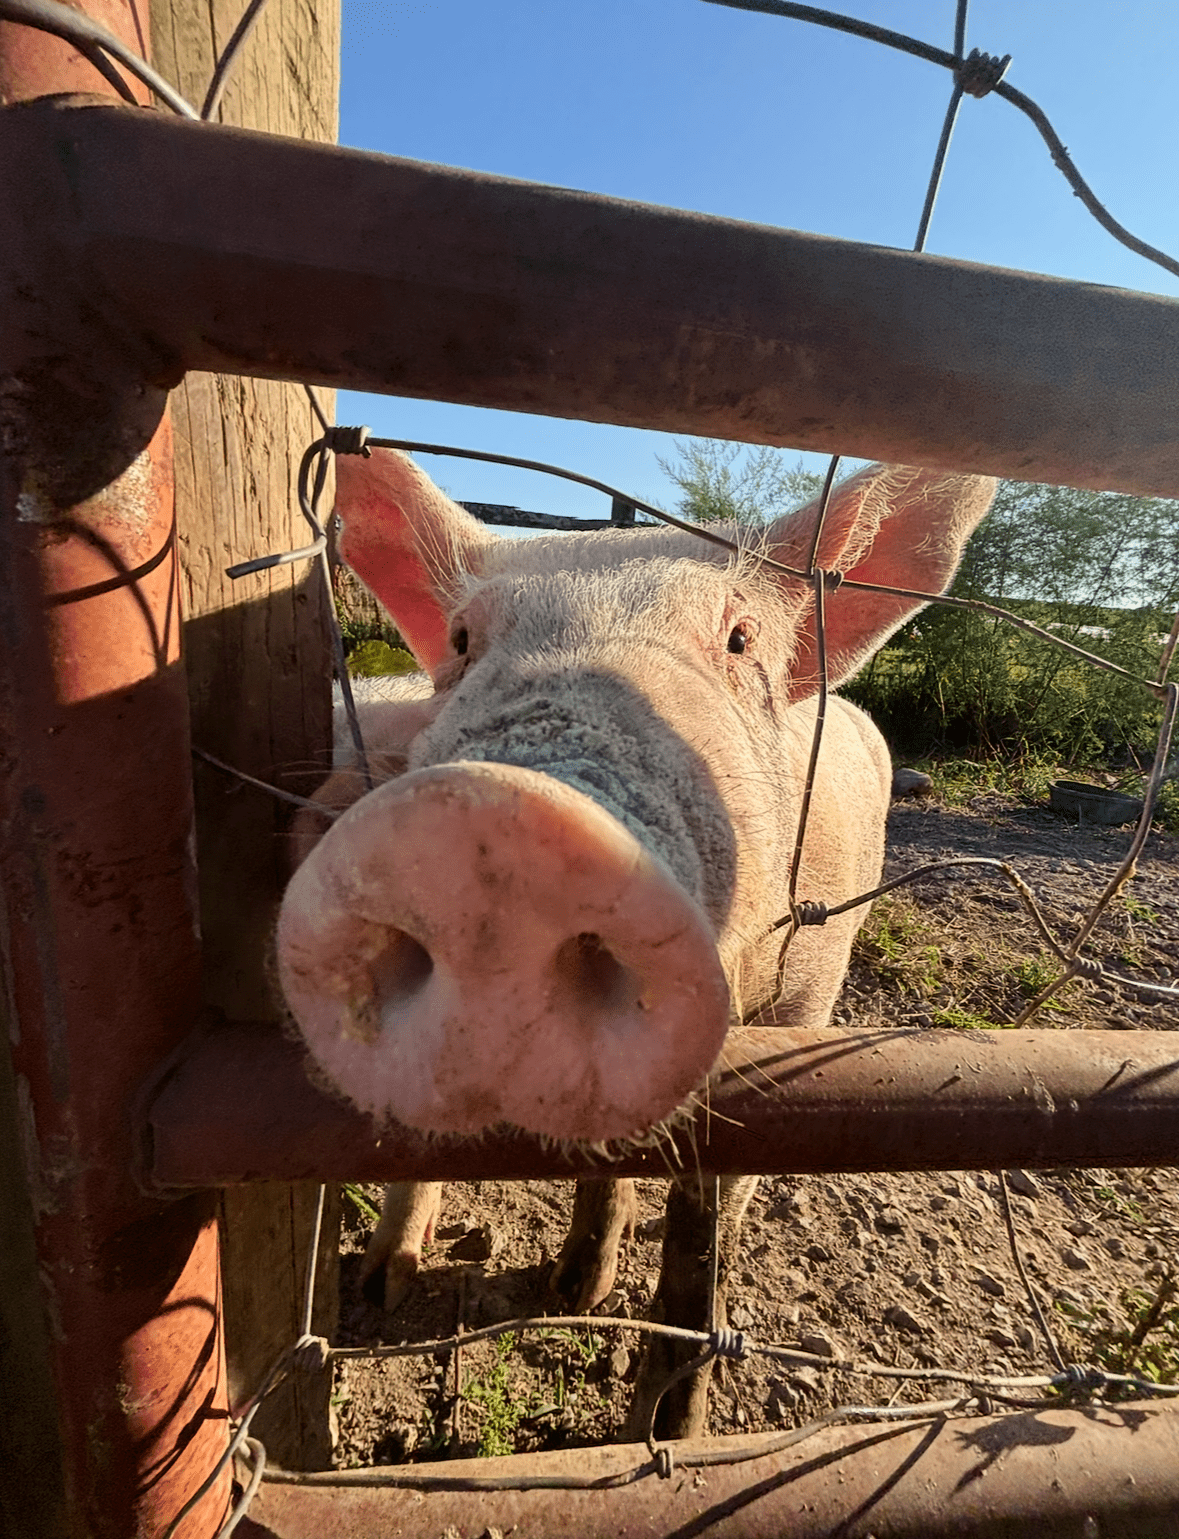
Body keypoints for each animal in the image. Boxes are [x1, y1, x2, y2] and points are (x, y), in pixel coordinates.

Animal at [279, 448, 994, 1438]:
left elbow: (706, 1227)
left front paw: (666, 1429)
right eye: (460, 641)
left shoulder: (803, 1015)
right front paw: (566, 1290)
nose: (497, 817)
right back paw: (386, 1286)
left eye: (739, 640)